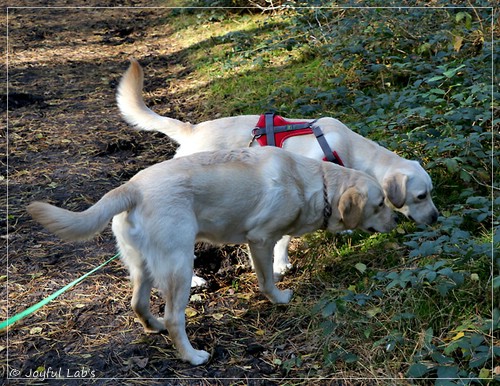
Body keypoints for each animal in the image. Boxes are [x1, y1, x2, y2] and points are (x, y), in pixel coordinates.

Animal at [29, 147, 396, 364]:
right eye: (380, 204)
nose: (397, 221)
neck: (315, 183)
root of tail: (131, 187)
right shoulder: (259, 239)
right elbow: (266, 279)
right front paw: (279, 297)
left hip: (144, 265)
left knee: (138, 303)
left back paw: (154, 326)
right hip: (179, 264)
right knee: (175, 318)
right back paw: (191, 356)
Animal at [116, 58, 438, 280]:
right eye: (421, 196)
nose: (436, 218)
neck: (349, 146)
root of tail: (191, 130)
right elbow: (284, 237)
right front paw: (281, 263)